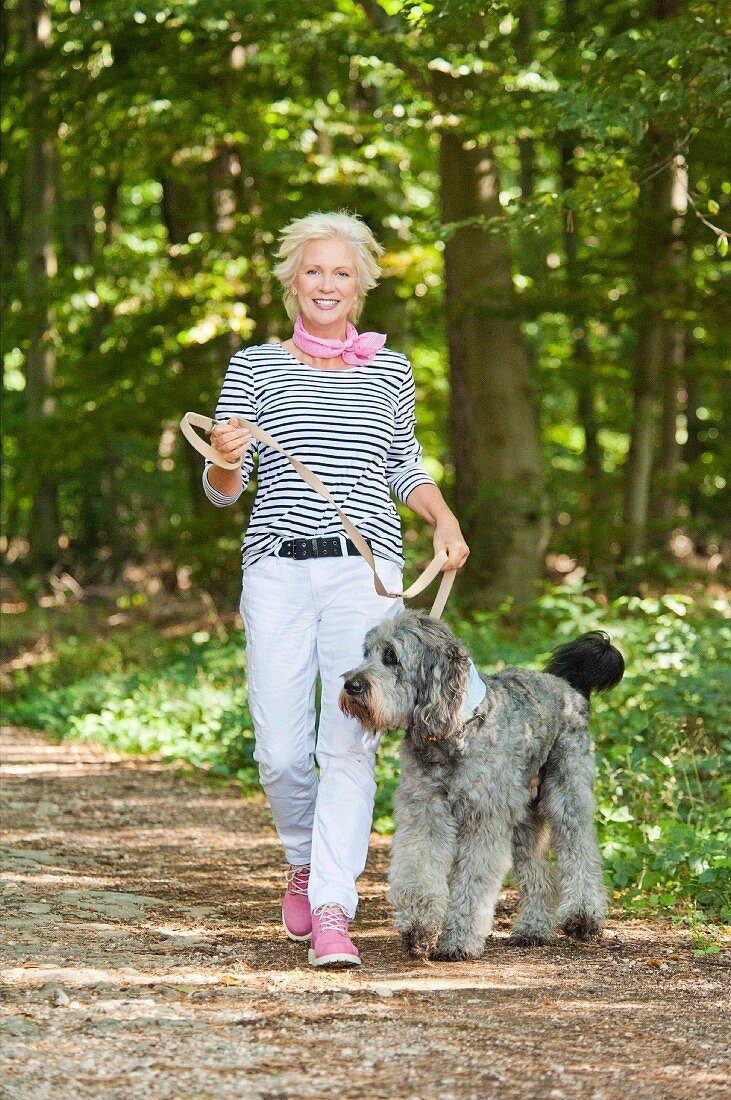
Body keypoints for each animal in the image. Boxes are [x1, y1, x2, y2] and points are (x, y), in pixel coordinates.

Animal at [338, 611, 624, 963]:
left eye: (391, 656)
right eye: (367, 654)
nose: (351, 685)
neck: (453, 729)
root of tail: (566, 685)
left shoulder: (482, 820)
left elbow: (473, 885)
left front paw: (459, 940)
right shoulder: (425, 812)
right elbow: (418, 869)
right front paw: (419, 926)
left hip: (567, 797)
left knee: (581, 851)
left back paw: (583, 917)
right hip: (524, 819)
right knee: (538, 872)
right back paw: (533, 929)